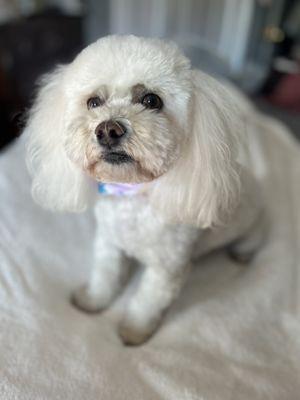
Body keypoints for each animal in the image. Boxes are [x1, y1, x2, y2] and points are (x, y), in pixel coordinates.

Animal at [25, 36, 264, 346]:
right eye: (93, 102)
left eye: (151, 100)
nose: (108, 129)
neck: (131, 195)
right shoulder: (109, 244)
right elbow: (105, 276)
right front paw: (92, 301)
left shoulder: (165, 269)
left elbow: (147, 302)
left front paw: (134, 332)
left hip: (251, 233)